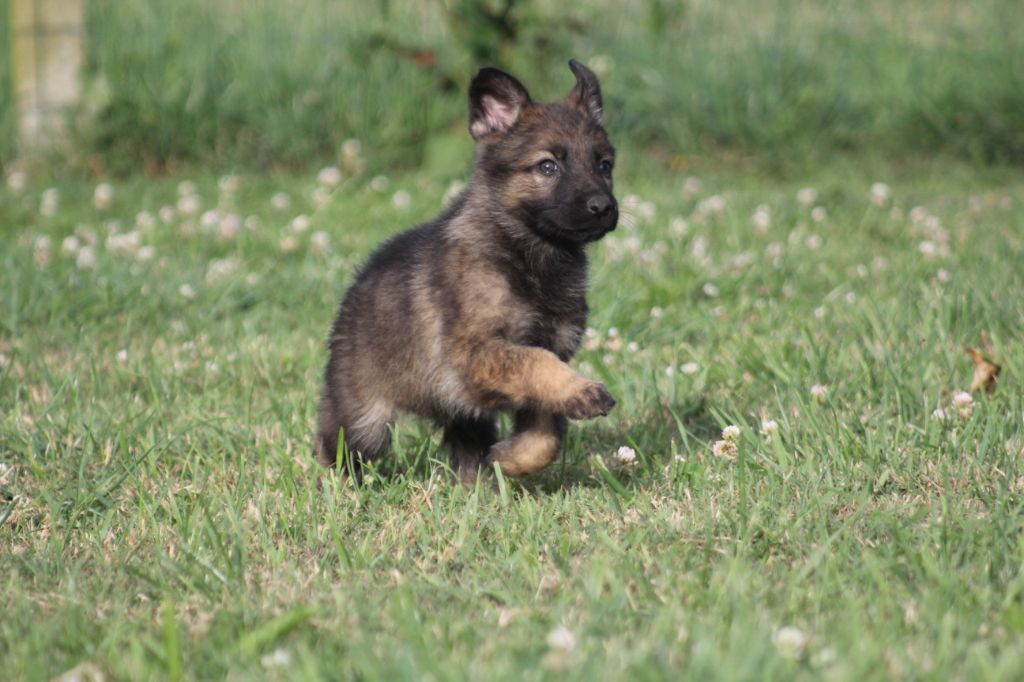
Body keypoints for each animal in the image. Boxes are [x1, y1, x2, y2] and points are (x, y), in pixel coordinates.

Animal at [315, 61, 614, 481]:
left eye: (605, 165)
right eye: (548, 166)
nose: (603, 207)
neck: (526, 250)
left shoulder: (544, 352)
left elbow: (548, 434)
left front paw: (509, 459)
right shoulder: (474, 354)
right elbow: (535, 362)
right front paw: (582, 390)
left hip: (465, 413)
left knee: (468, 443)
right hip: (363, 419)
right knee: (338, 446)